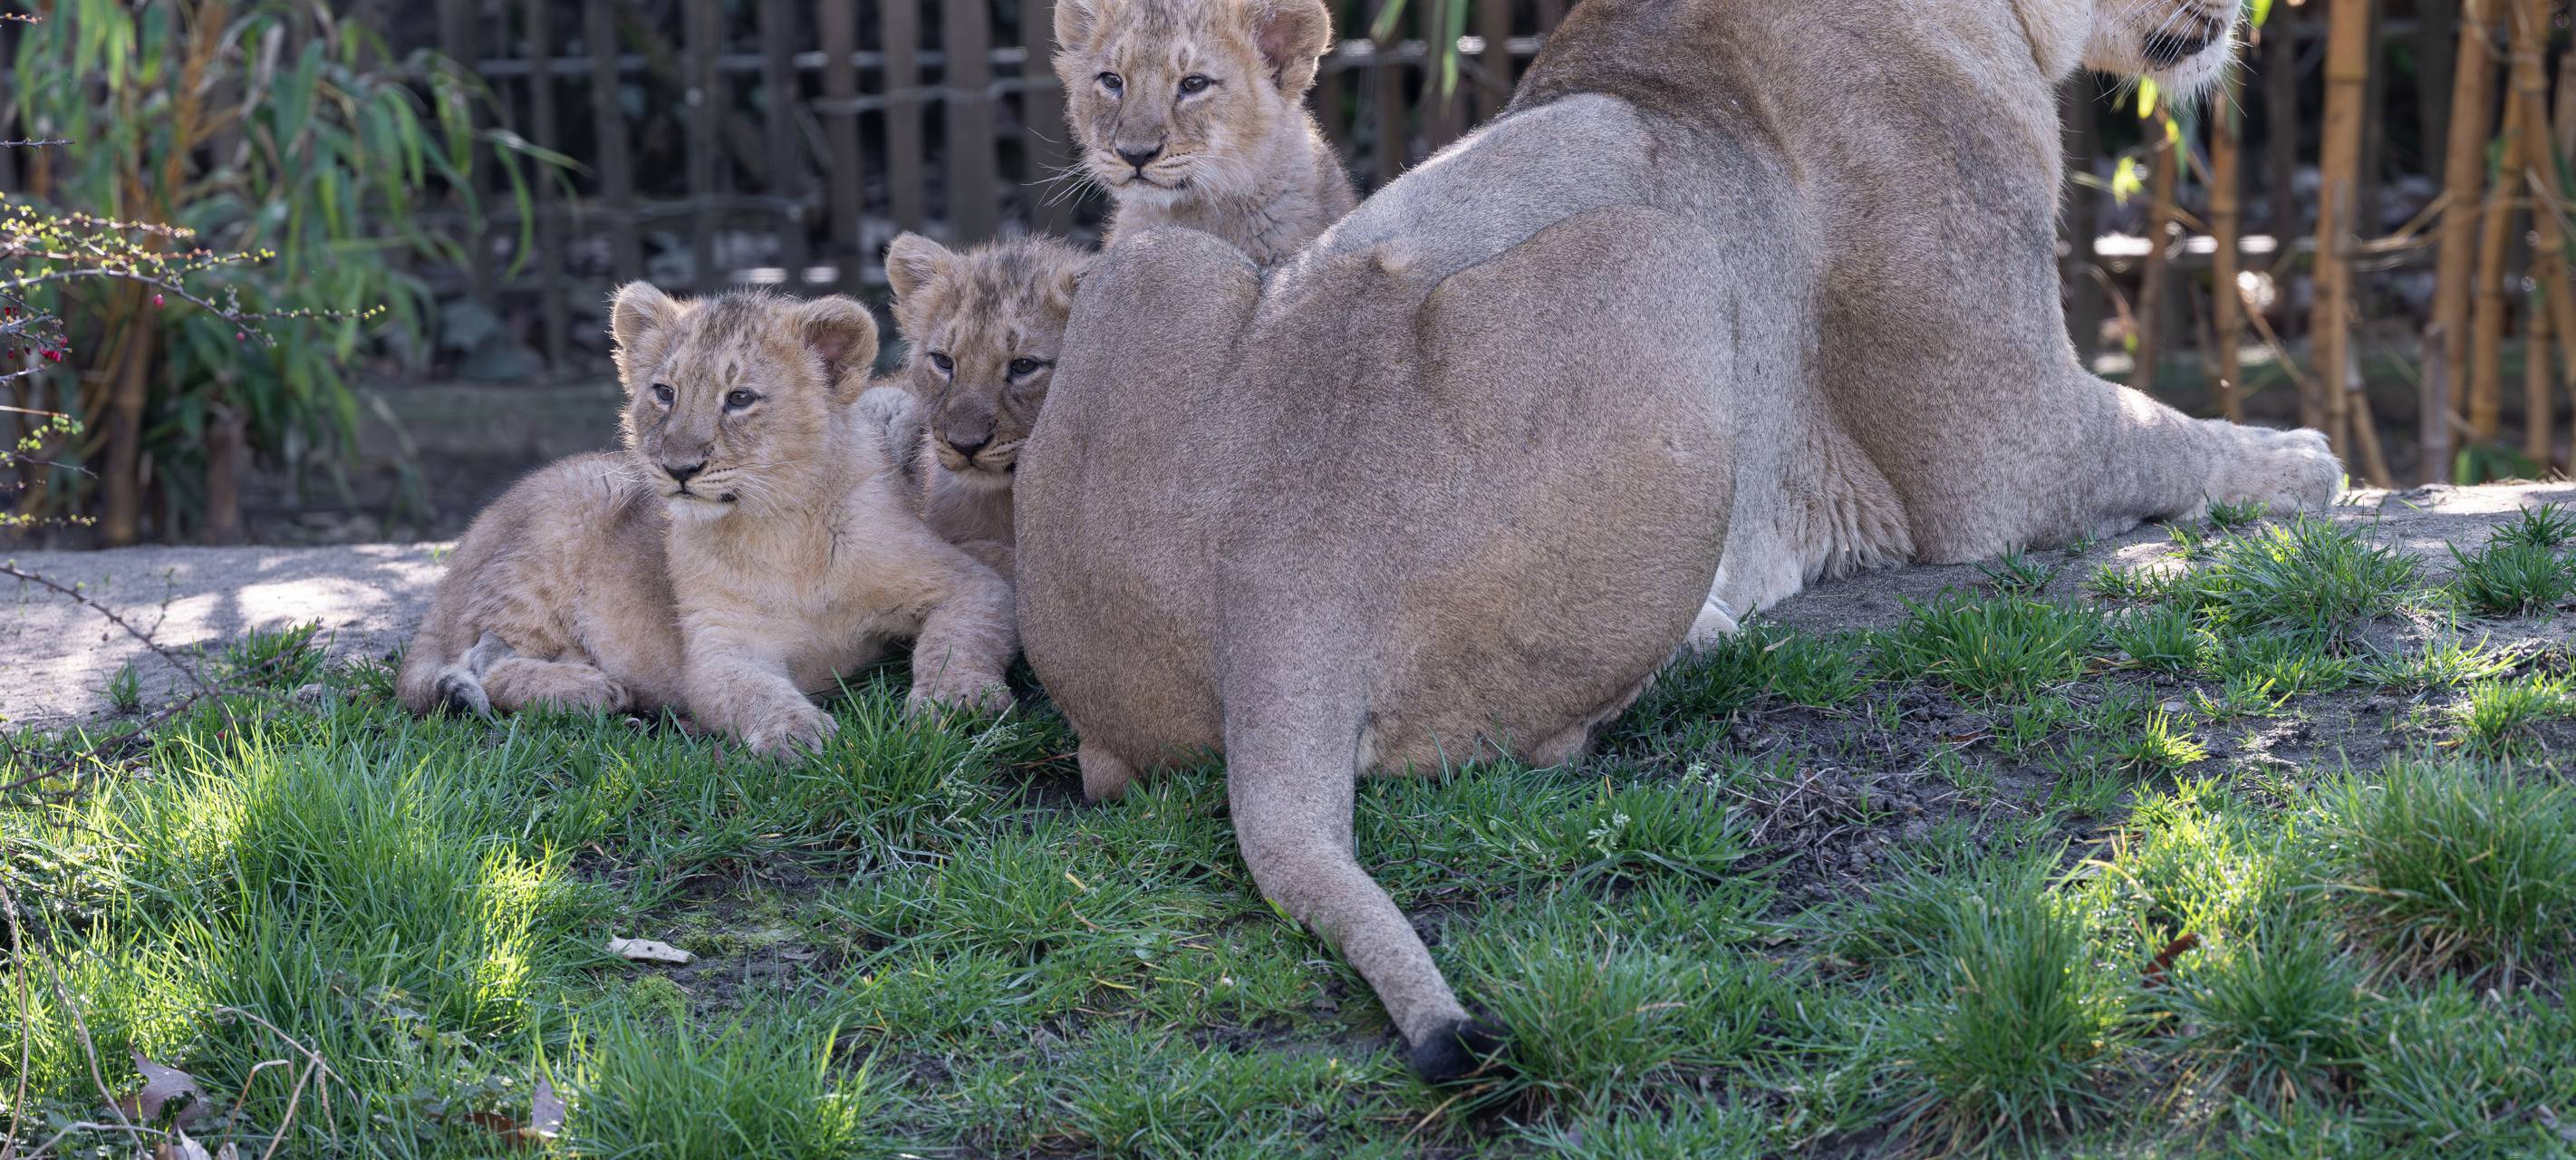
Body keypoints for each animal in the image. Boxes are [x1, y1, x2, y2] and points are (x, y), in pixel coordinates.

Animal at [397, 286, 1016, 757]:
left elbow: (958, 638)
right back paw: (593, 691)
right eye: (664, 393)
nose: (679, 468)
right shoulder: (719, 648)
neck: (780, 529)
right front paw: (797, 733)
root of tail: (464, 548)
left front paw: (957, 701)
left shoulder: (967, 583)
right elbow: (753, 692)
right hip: (578, 506)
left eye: (739, 398)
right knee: (482, 660)